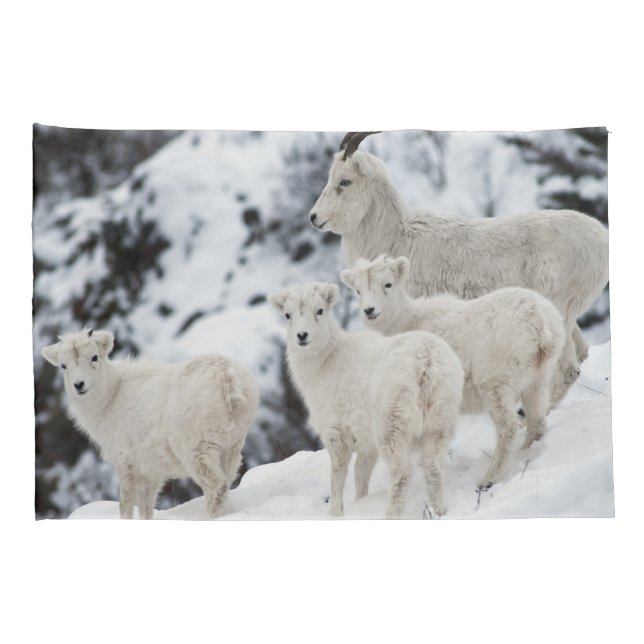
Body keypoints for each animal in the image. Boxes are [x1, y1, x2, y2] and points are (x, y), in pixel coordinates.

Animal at [41, 328, 259, 519]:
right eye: (64, 365)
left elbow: (126, 506)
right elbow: (146, 509)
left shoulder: (126, 464)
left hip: (196, 451)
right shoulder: (150, 474)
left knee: (216, 487)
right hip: (230, 449)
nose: (79, 385)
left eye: (94, 357)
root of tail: (226, 377)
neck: (111, 398)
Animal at [268, 281, 464, 519]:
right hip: (440, 421)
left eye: (320, 311)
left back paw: (390, 515)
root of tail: (426, 362)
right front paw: (360, 502)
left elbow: (338, 477)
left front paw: (336, 513)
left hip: (393, 426)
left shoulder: (336, 433)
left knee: (401, 474)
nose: (302, 335)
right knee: (433, 467)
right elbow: (361, 476)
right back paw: (439, 511)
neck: (324, 363)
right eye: (287, 315)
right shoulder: (365, 443)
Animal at [310, 131, 609, 408]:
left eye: (344, 181)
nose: (314, 217)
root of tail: (602, 240)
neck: (397, 237)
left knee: (568, 370)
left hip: (561, 311)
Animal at [341, 255, 567, 490]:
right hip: (537, 381)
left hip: (495, 384)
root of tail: (539, 322)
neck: (406, 322)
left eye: (388, 284)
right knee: (537, 424)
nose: (369, 310)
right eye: (358, 290)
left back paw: (488, 480)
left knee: (508, 428)